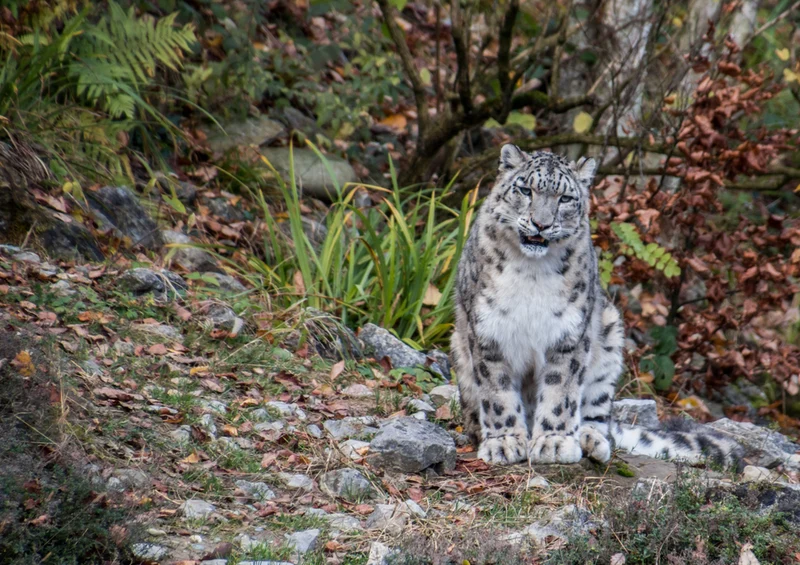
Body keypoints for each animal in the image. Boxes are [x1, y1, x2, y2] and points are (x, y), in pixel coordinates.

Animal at [451, 144, 742, 467]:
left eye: (565, 198)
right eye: (525, 189)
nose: (541, 224)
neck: (531, 271)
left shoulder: (569, 332)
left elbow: (561, 391)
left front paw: (554, 442)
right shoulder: (489, 330)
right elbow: (497, 392)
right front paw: (504, 442)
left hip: (609, 336)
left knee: (599, 414)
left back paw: (591, 440)